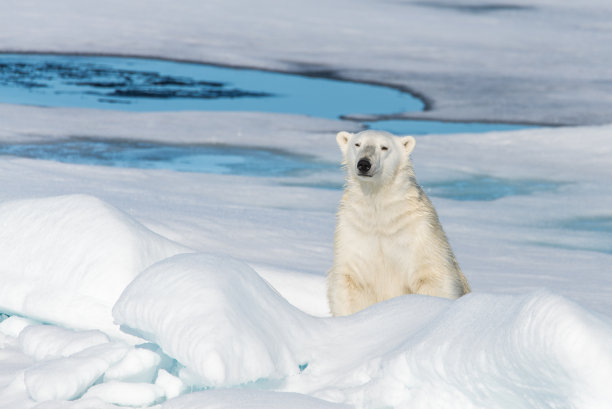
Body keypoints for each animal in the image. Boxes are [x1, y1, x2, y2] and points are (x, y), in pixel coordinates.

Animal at [328, 129, 470, 314]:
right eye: (357, 144)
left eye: (384, 147)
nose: (364, 164)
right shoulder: (354, 230)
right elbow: (350, 281)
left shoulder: (419, 232)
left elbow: (431, 276)